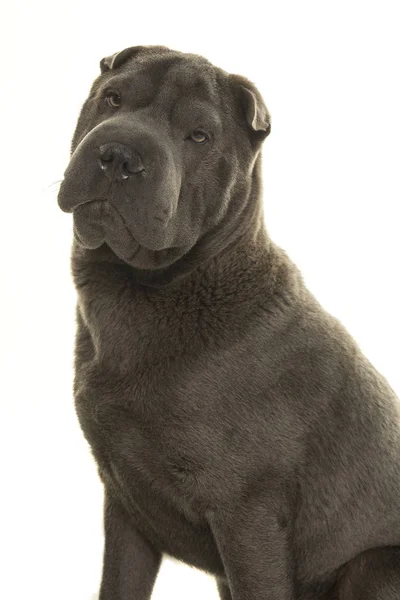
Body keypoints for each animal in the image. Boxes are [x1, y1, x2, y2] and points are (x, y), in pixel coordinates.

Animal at [57, 44, 400, 596]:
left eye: (199, 135)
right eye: (112, 98)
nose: (119, 156)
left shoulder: (246, 512)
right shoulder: (126, 507)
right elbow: (118, 583)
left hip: (373, 569)